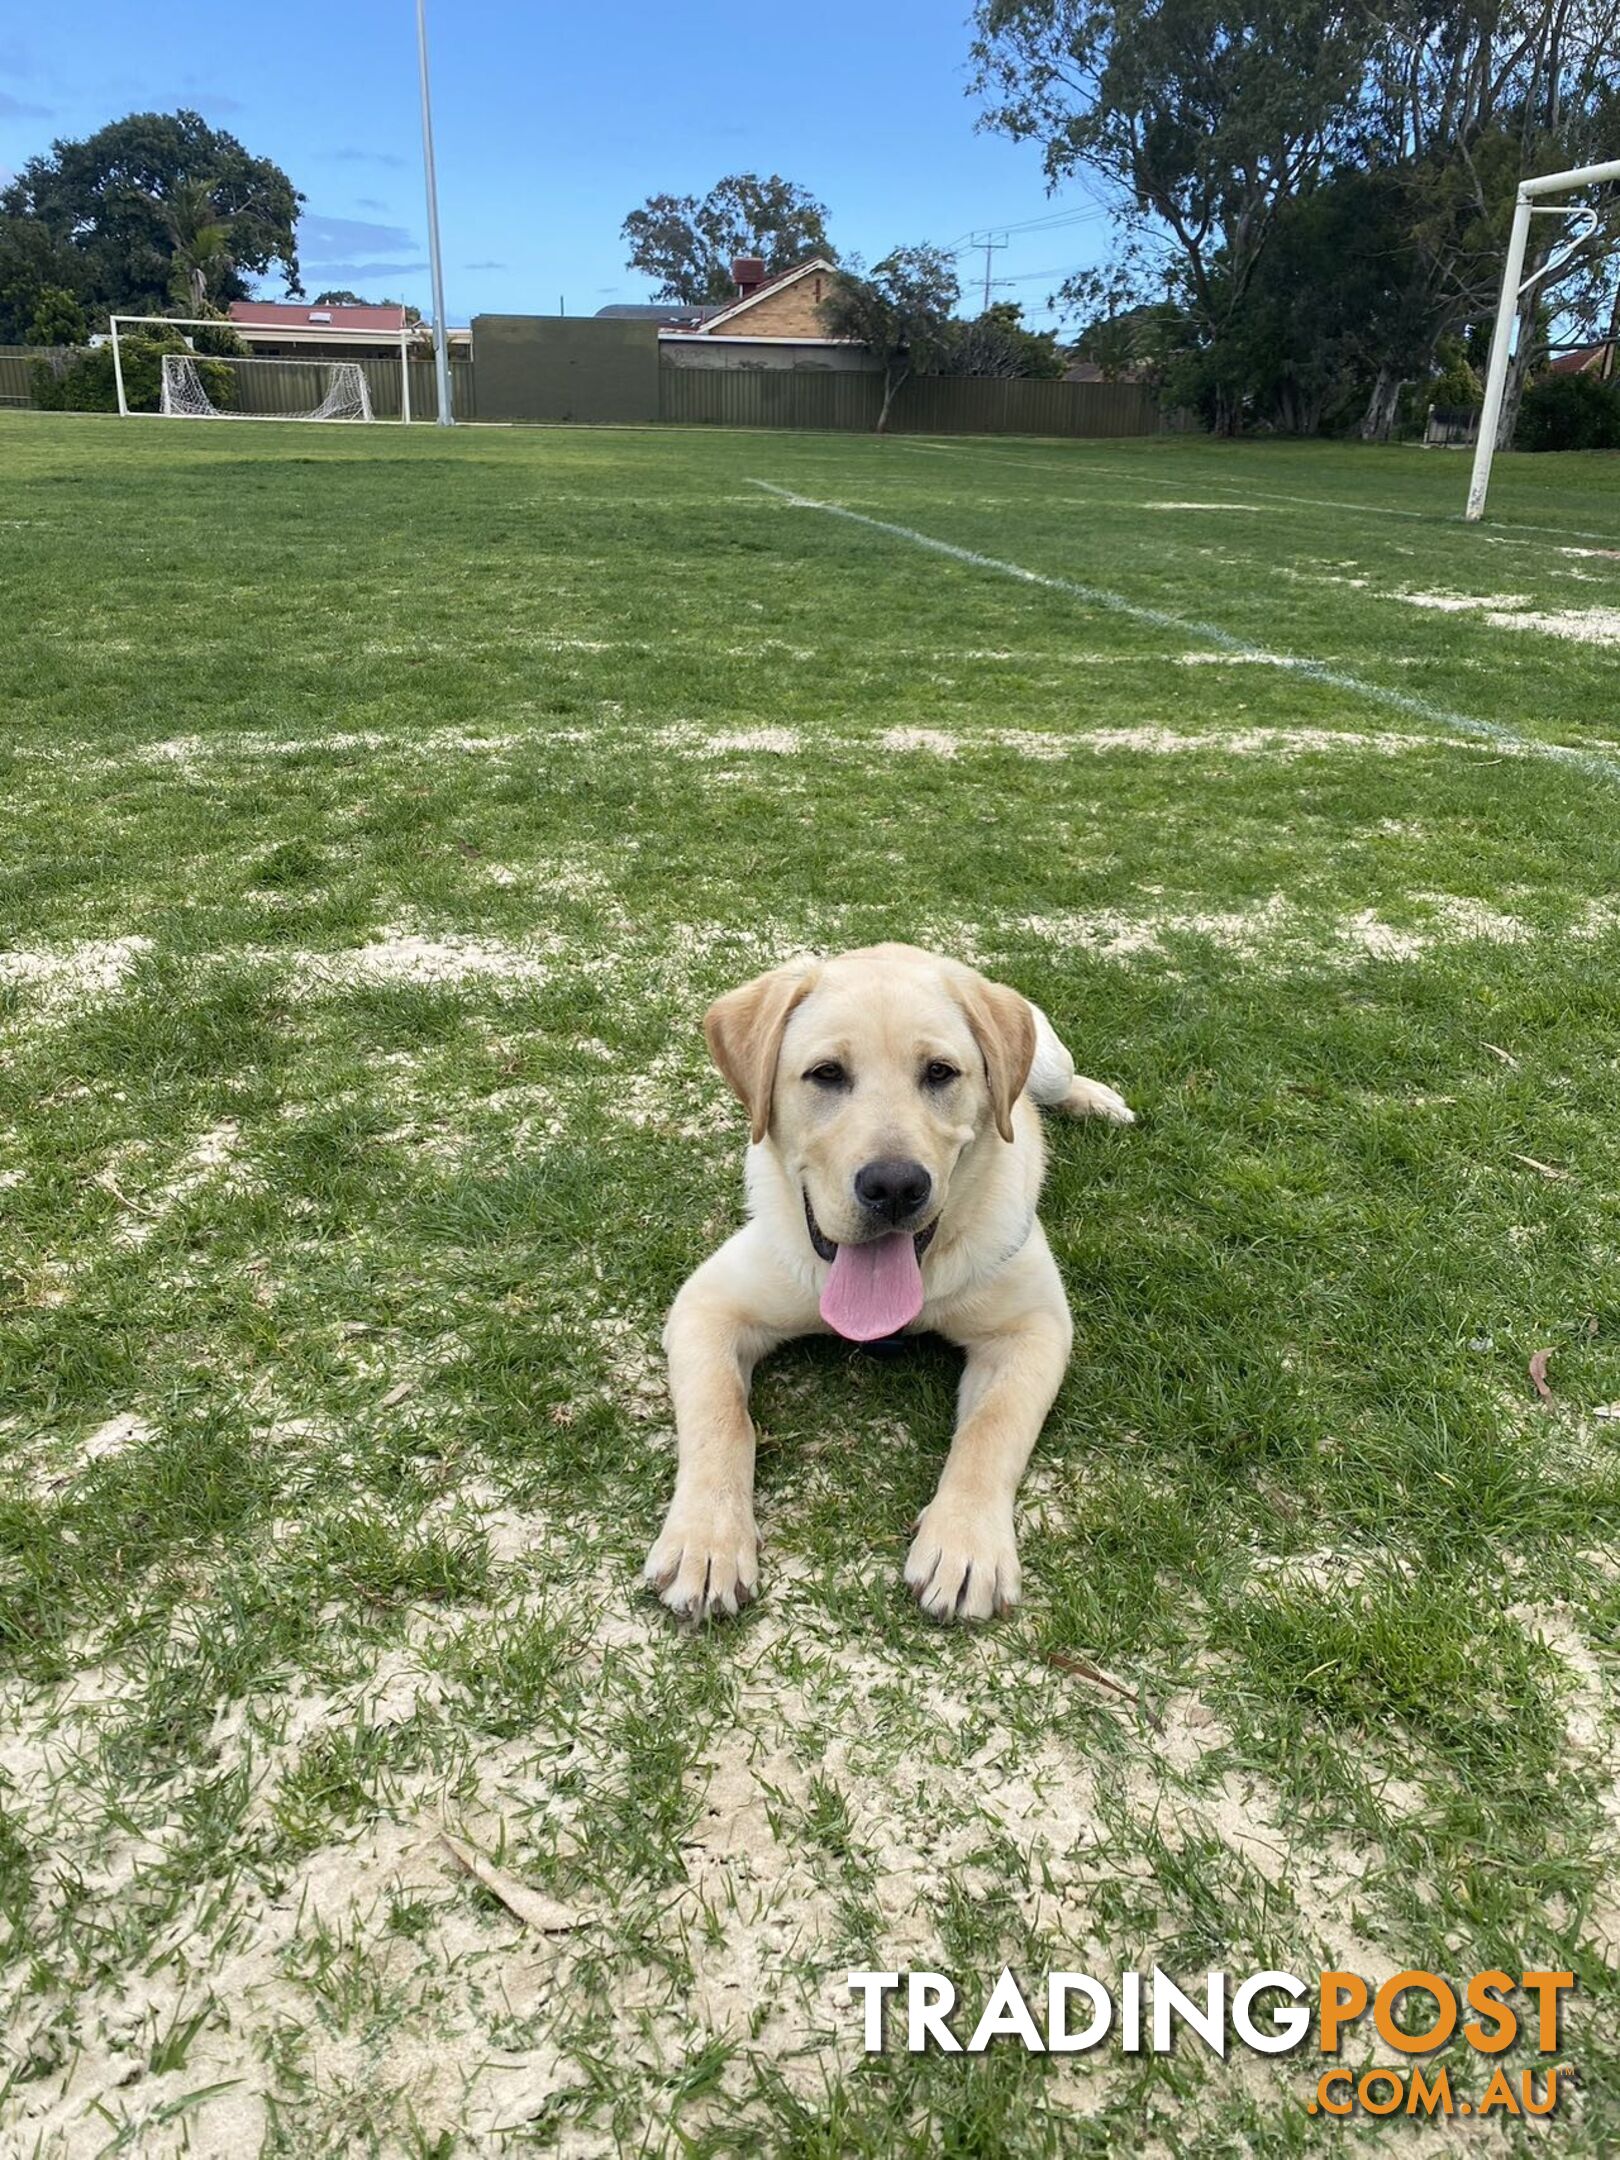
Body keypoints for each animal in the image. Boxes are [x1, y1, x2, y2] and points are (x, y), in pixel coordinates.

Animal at [639, 946, 1131, 1624]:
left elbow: (990, 1429)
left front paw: (965, 1545)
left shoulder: (1033, 1328)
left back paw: (1099, 1099)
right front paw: (706, 1541)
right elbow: (721, 1418)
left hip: (1047, 1062)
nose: (895, 1186)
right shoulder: (708, 1304)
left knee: (1062, 1080)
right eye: (825, 1074)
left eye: (940, 1073)